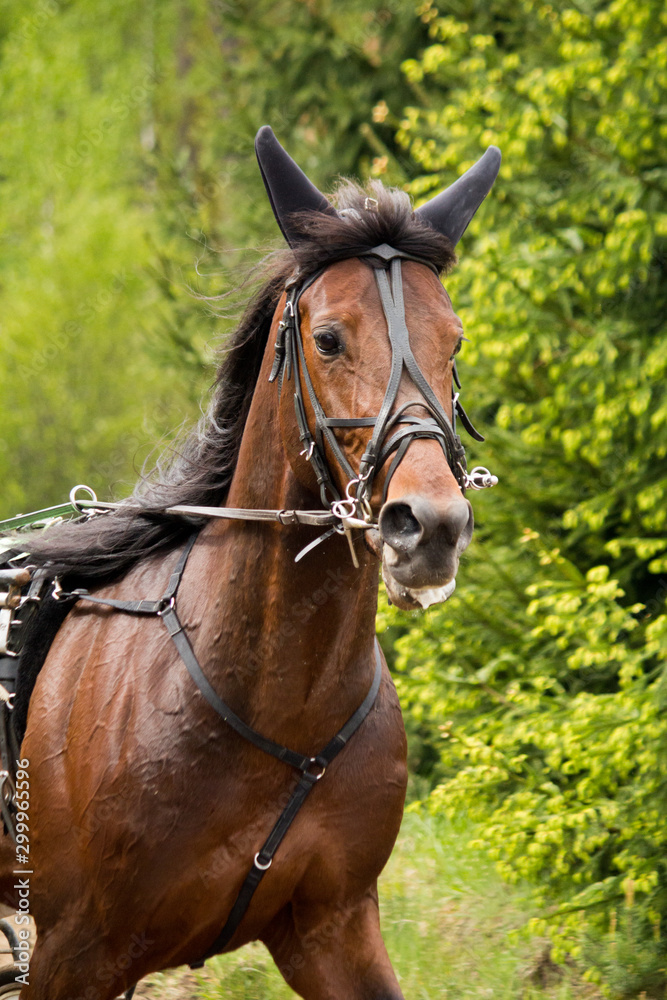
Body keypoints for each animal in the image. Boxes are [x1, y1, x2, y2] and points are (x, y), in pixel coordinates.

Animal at [0, 127, 500, 1000]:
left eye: (454, 342)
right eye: (329, 338)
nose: (430, 525)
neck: (273, 702)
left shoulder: (333, 928)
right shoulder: (71, 953)